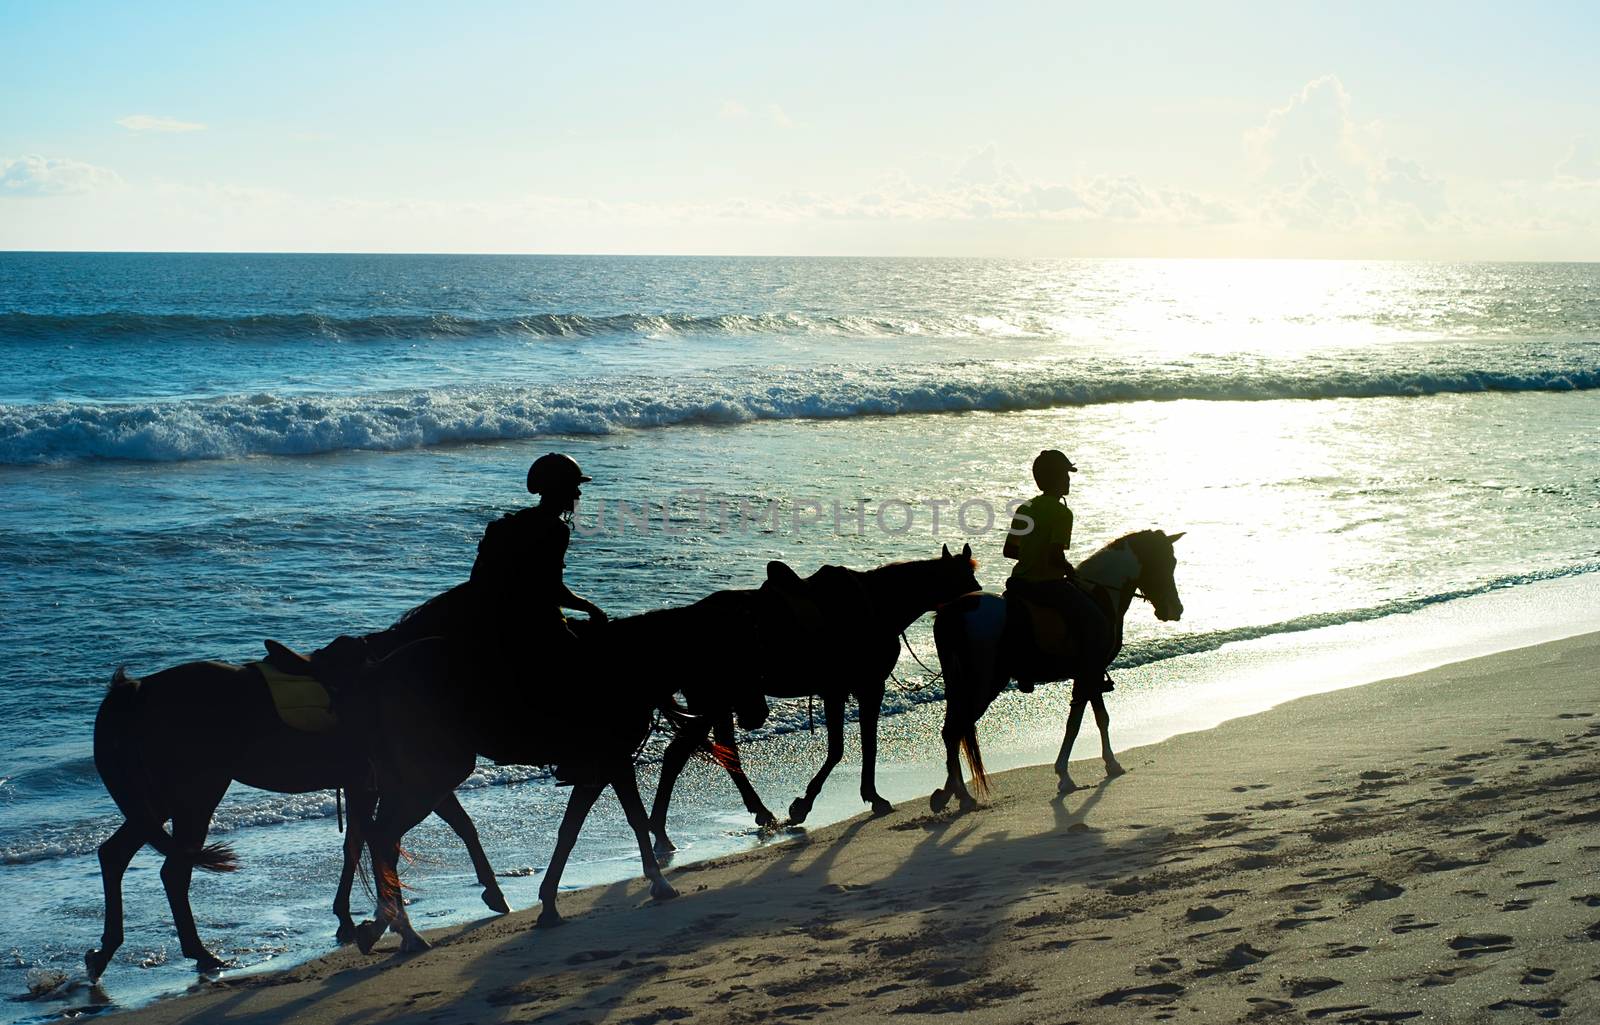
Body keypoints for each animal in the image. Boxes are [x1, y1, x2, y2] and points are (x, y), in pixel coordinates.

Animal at [84, 652, 505, 978]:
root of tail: (139, 690)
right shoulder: (403, 781)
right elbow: (378, 841)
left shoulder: (385, 783)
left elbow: (381, 840)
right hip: (195, 796)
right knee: (173, 871)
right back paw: (200, 953)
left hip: (160, 801)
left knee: (115, 855)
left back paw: (105, 952)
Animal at [643, 543, 979, 844]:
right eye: (967, 582)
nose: (982, 604)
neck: (876, 605)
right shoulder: (854, 689)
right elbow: (844, 748)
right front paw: (807, 805)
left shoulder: (855, 690)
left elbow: (863, 745)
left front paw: (867, 796)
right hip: (712, 704)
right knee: (680, 755)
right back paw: (661, 830)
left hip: (715, 704)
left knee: (714, 753)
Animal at [934, 530, 1184, 812]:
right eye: (1165, 563)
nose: (1175, 610)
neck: (1099, 594)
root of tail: (953, 614)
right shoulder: (1090, 671)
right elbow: (1080, 722)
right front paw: (1069, 773)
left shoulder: (1090, 673)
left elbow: (1095, 718)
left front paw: (1105, 764)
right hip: (982, 685)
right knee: (955, 730)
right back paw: (961, 794)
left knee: (952, 732)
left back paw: (951, 792)